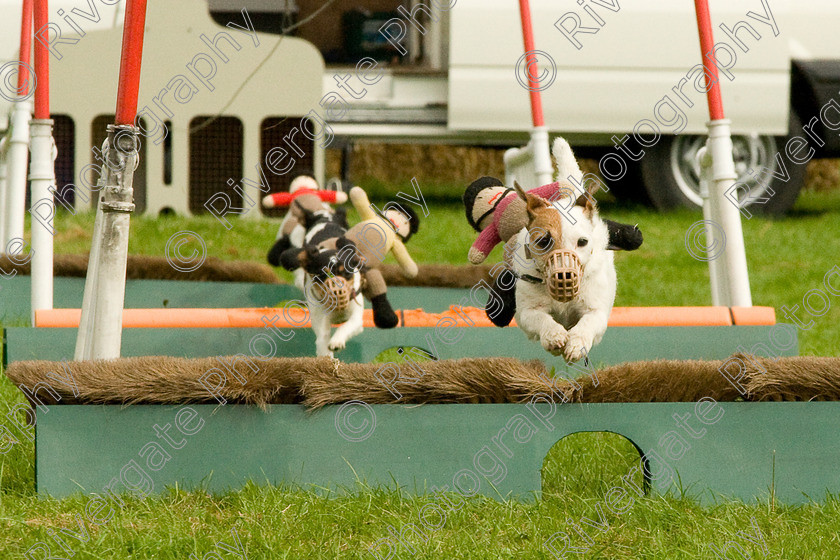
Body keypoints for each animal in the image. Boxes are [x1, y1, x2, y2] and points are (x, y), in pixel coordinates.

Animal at [506, 179, 616, 364]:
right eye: (543, 241)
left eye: (583, 241)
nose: (564, 275)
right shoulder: (527, 312)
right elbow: (541, 318)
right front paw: (554, 336)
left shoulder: (597, 311)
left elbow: (588, 322)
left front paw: (576, 344)